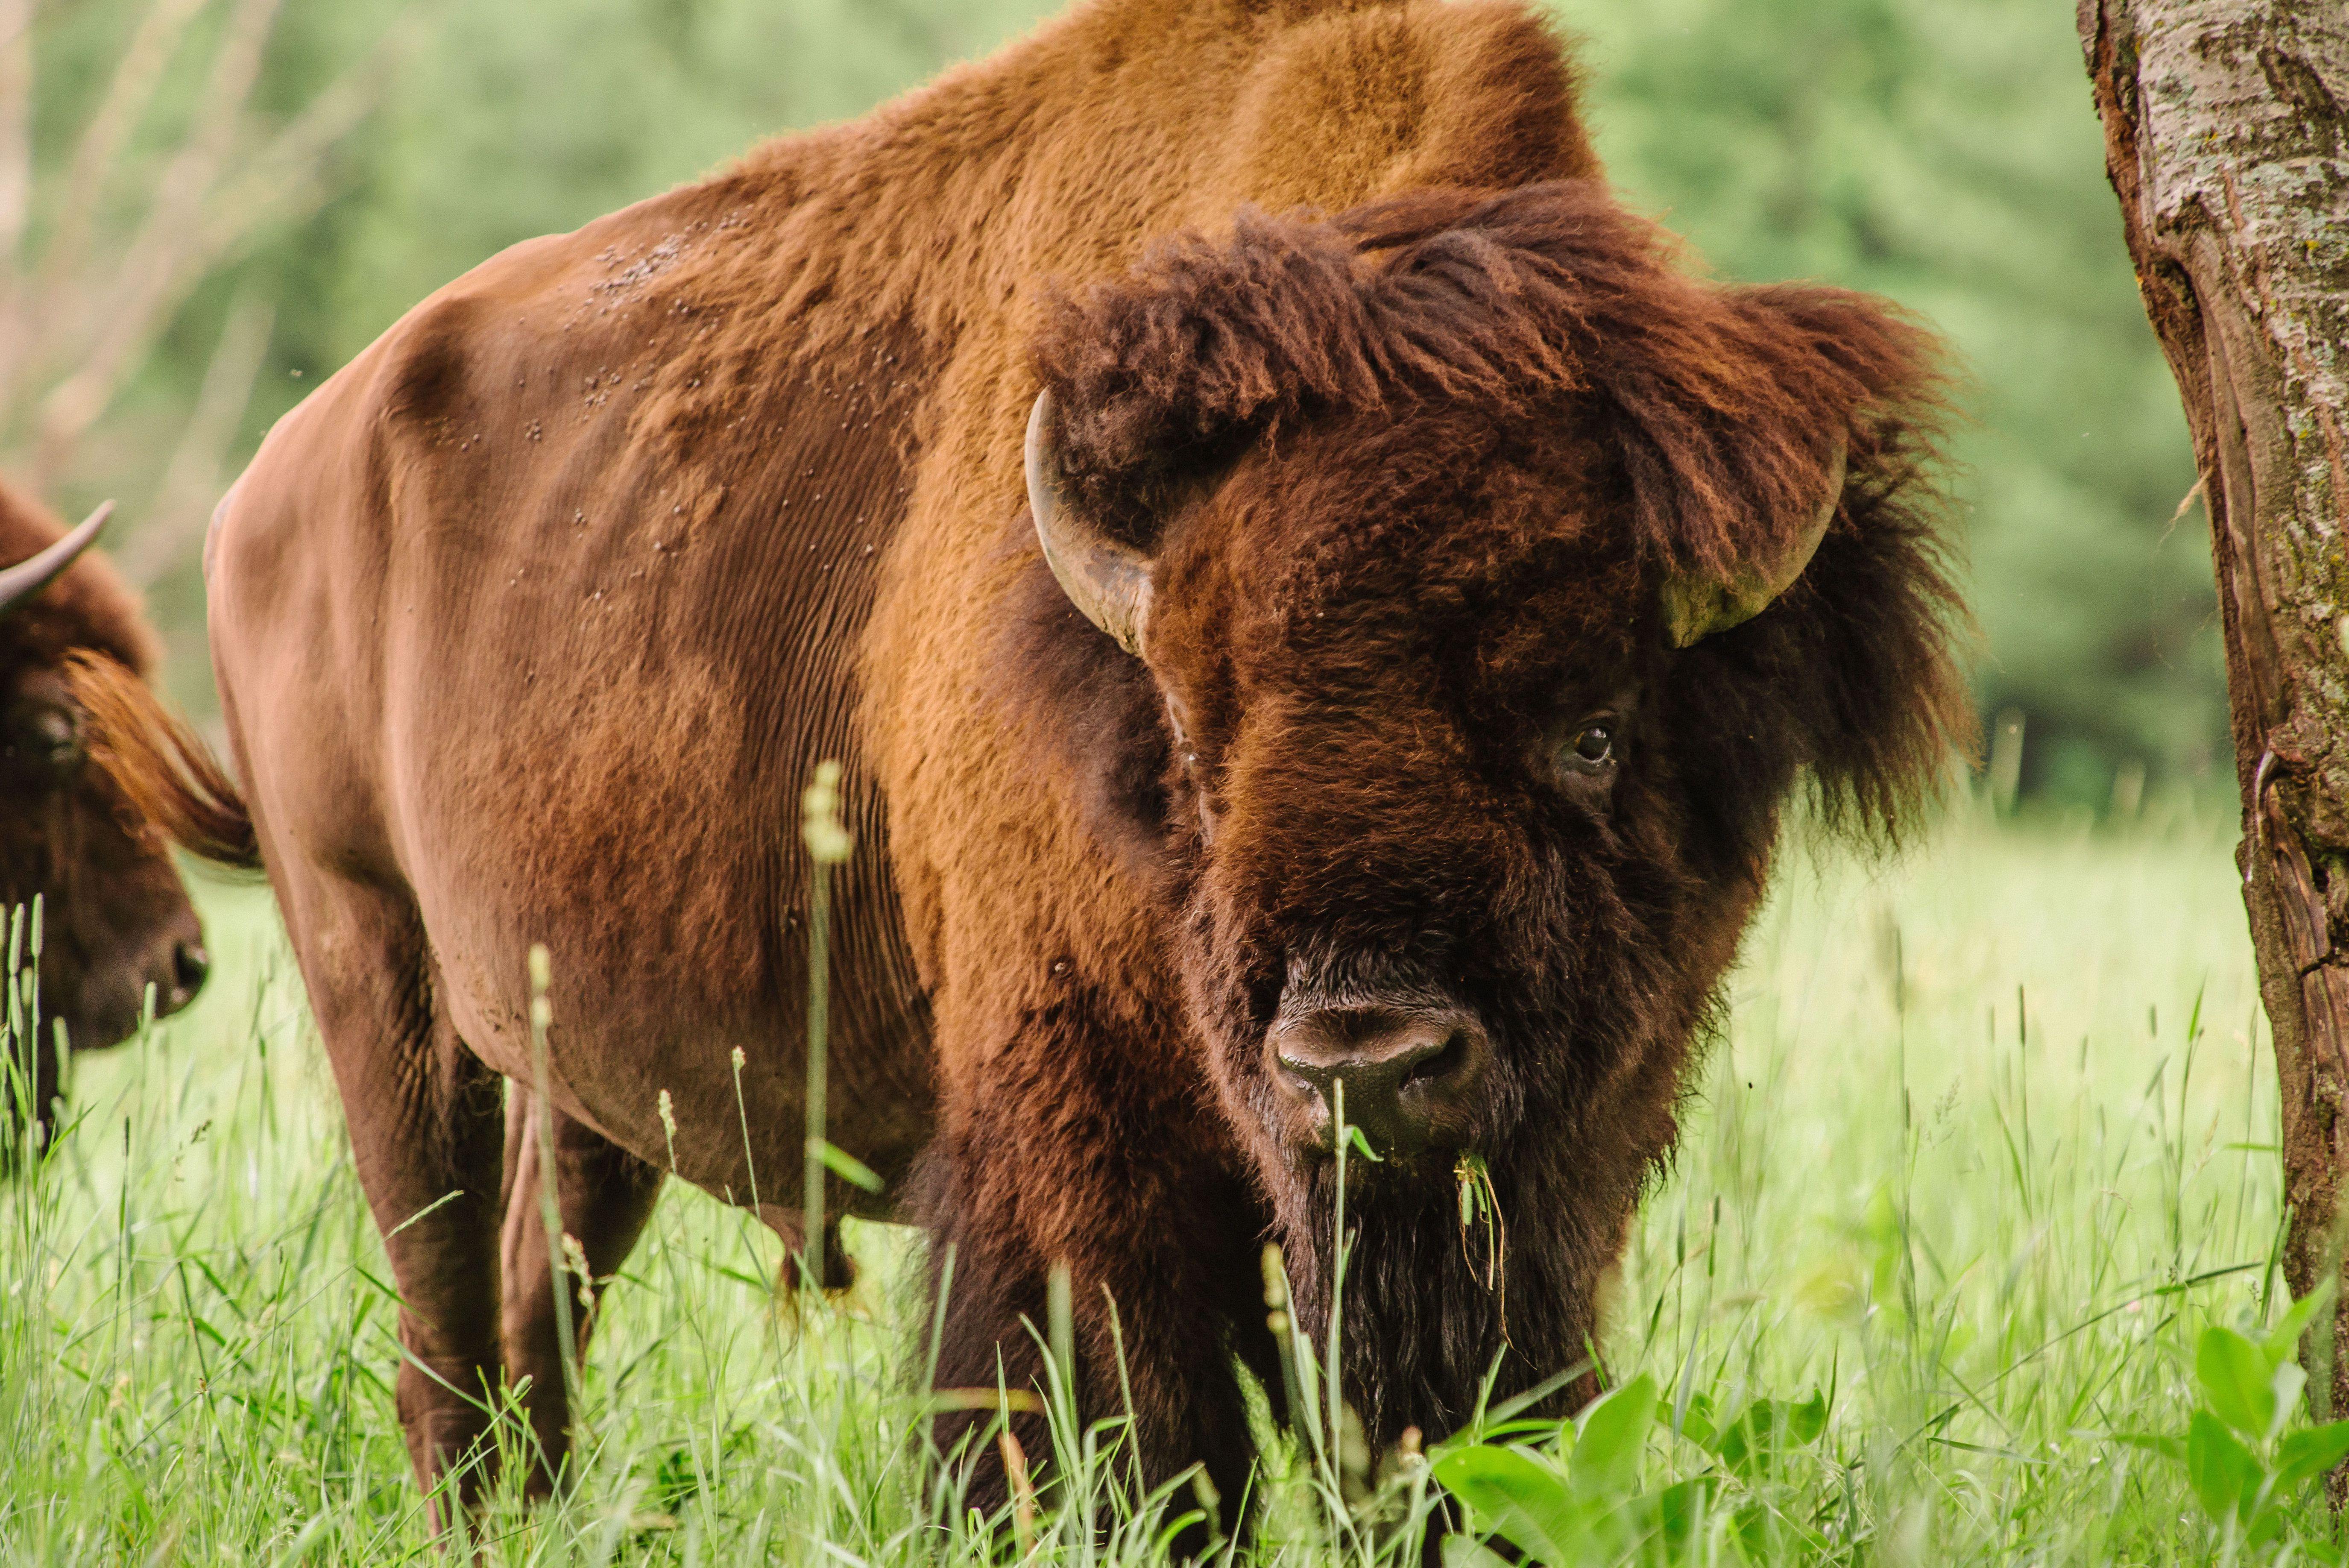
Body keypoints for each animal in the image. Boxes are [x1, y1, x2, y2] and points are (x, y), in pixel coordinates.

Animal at [74, 0, 1968, 1533]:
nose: (1361, 1057)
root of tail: (280, 470)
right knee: (447, 1315)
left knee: (541, 1307)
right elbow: (1128, 1430)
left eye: (1591, 727)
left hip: (568, 1058)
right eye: (1195, 742)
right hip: (366, 959)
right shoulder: (1081, 1132)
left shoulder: (1558, 1163)